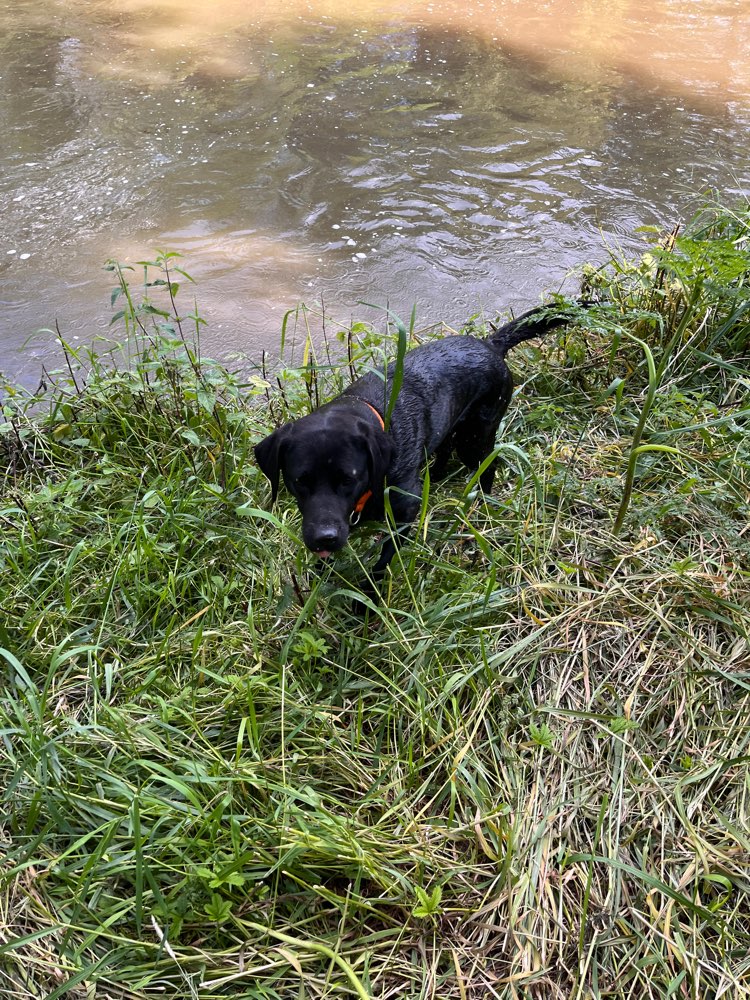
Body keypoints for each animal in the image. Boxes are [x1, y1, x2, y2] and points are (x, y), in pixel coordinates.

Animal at [256, 304, 584, 584]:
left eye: (349, 478)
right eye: (300, 480)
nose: (324, 538)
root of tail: (490, 344)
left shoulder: (403, 515)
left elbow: (382, 563)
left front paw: (365, 602)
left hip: (474, 438)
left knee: (488, 467)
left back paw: (480, 506)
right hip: (451, 428)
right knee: (444, 451)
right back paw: (436, 477)